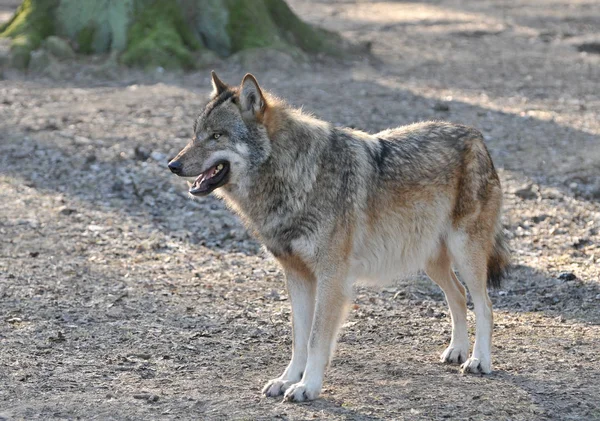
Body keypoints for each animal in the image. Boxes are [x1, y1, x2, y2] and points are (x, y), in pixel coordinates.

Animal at [166, 71, 508, 400]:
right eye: (196, 134)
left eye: (216, 136)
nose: (172, 165)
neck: (296, 176)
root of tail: (476, 136)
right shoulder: (297, 276)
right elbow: (299, 339)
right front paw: (287, 379)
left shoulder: (332, 277)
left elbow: (317, 339)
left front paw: (307, 387)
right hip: (431, 260)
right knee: (458, 296)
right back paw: (457, 351)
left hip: (465, 253)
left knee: (485, 305)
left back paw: (479, 361)